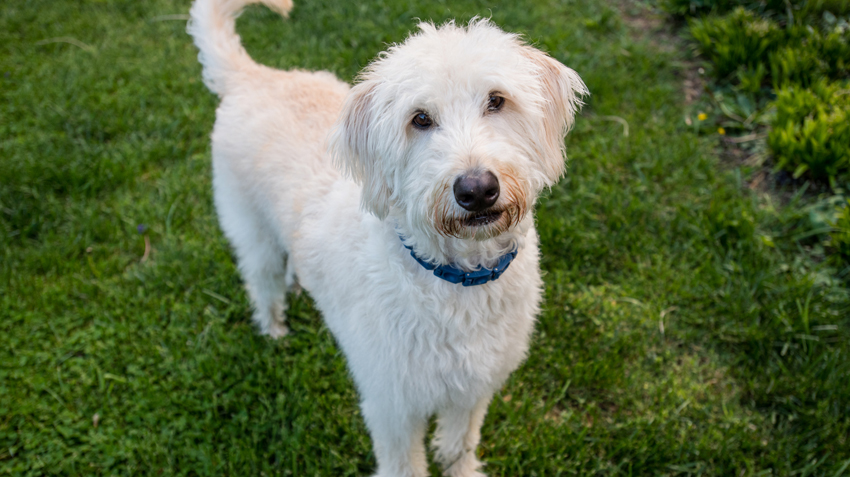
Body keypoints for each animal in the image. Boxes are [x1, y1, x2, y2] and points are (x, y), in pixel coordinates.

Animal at [187, 1, 584, 474]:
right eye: (420, 119)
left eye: (496, 100)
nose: (476, 190)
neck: (456, 281)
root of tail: (254, 75)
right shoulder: (392, 405)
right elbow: (404, 464)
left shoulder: (473, 388)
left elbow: (459, 445)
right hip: (253, 233)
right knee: (262, 283)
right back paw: (274, 329)